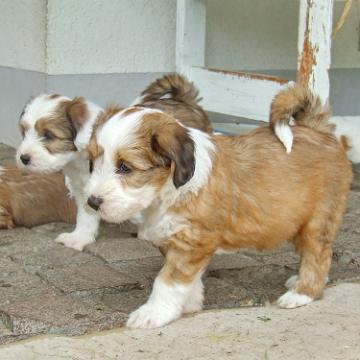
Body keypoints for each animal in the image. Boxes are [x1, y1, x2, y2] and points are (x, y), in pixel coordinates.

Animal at [83, 85, 352, 330]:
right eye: (92, 162)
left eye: (125, 168)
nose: (92, 202)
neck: (167, 190)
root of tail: (317, 129)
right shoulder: (175, 240)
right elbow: (186, 279)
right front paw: (190, 303)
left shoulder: (190, 241)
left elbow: (168, 281)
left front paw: (154, 313)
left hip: (318, 220)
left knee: (318, 255)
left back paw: (302, 293)